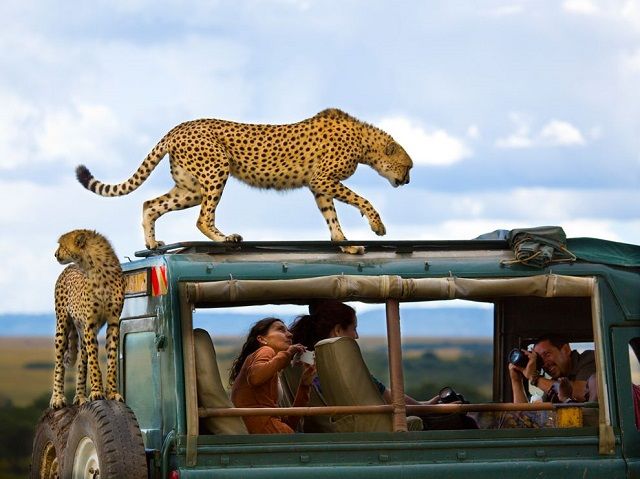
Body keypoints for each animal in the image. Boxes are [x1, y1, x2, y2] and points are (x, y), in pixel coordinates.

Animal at [50, 231, 124, 410]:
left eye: (62, 245)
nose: (55, 254)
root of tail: (69, 268)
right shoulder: (90, 324)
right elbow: (94, 362)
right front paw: (97, 391)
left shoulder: (112, 322)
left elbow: (111, 360)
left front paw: (112, 392)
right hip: (62, 326)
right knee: (59, 363)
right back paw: (57, 398)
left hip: (82, 332)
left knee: (82, 362)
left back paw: (80, 397)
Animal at [76, 108, 416, 255]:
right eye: (408, 165)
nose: (408, 180)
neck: (364, 142)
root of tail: (180, 125)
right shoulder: (323, 179)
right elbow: (362, 199)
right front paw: (377, 226)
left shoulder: (319, 186)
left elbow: (331, 217)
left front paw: (345, 244)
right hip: (216, 170)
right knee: (202, 218)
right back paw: (225, 238)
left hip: (190, 188)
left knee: (150, 203)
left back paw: (152, 243)